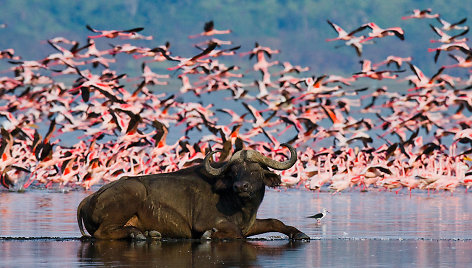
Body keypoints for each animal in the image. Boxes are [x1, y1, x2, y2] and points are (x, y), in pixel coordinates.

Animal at [77, 144, 310, 241]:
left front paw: (299, 234)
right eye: (234, 171)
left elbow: (274, 222)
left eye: (255, 170)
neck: (240, 205)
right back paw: (138, 235)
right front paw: (210, 235)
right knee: (101, 233)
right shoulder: (204, 222)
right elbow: (233, 233)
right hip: (132, 193)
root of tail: (88, 199)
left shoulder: (250, 224)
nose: (241, 186)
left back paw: (149, 234)